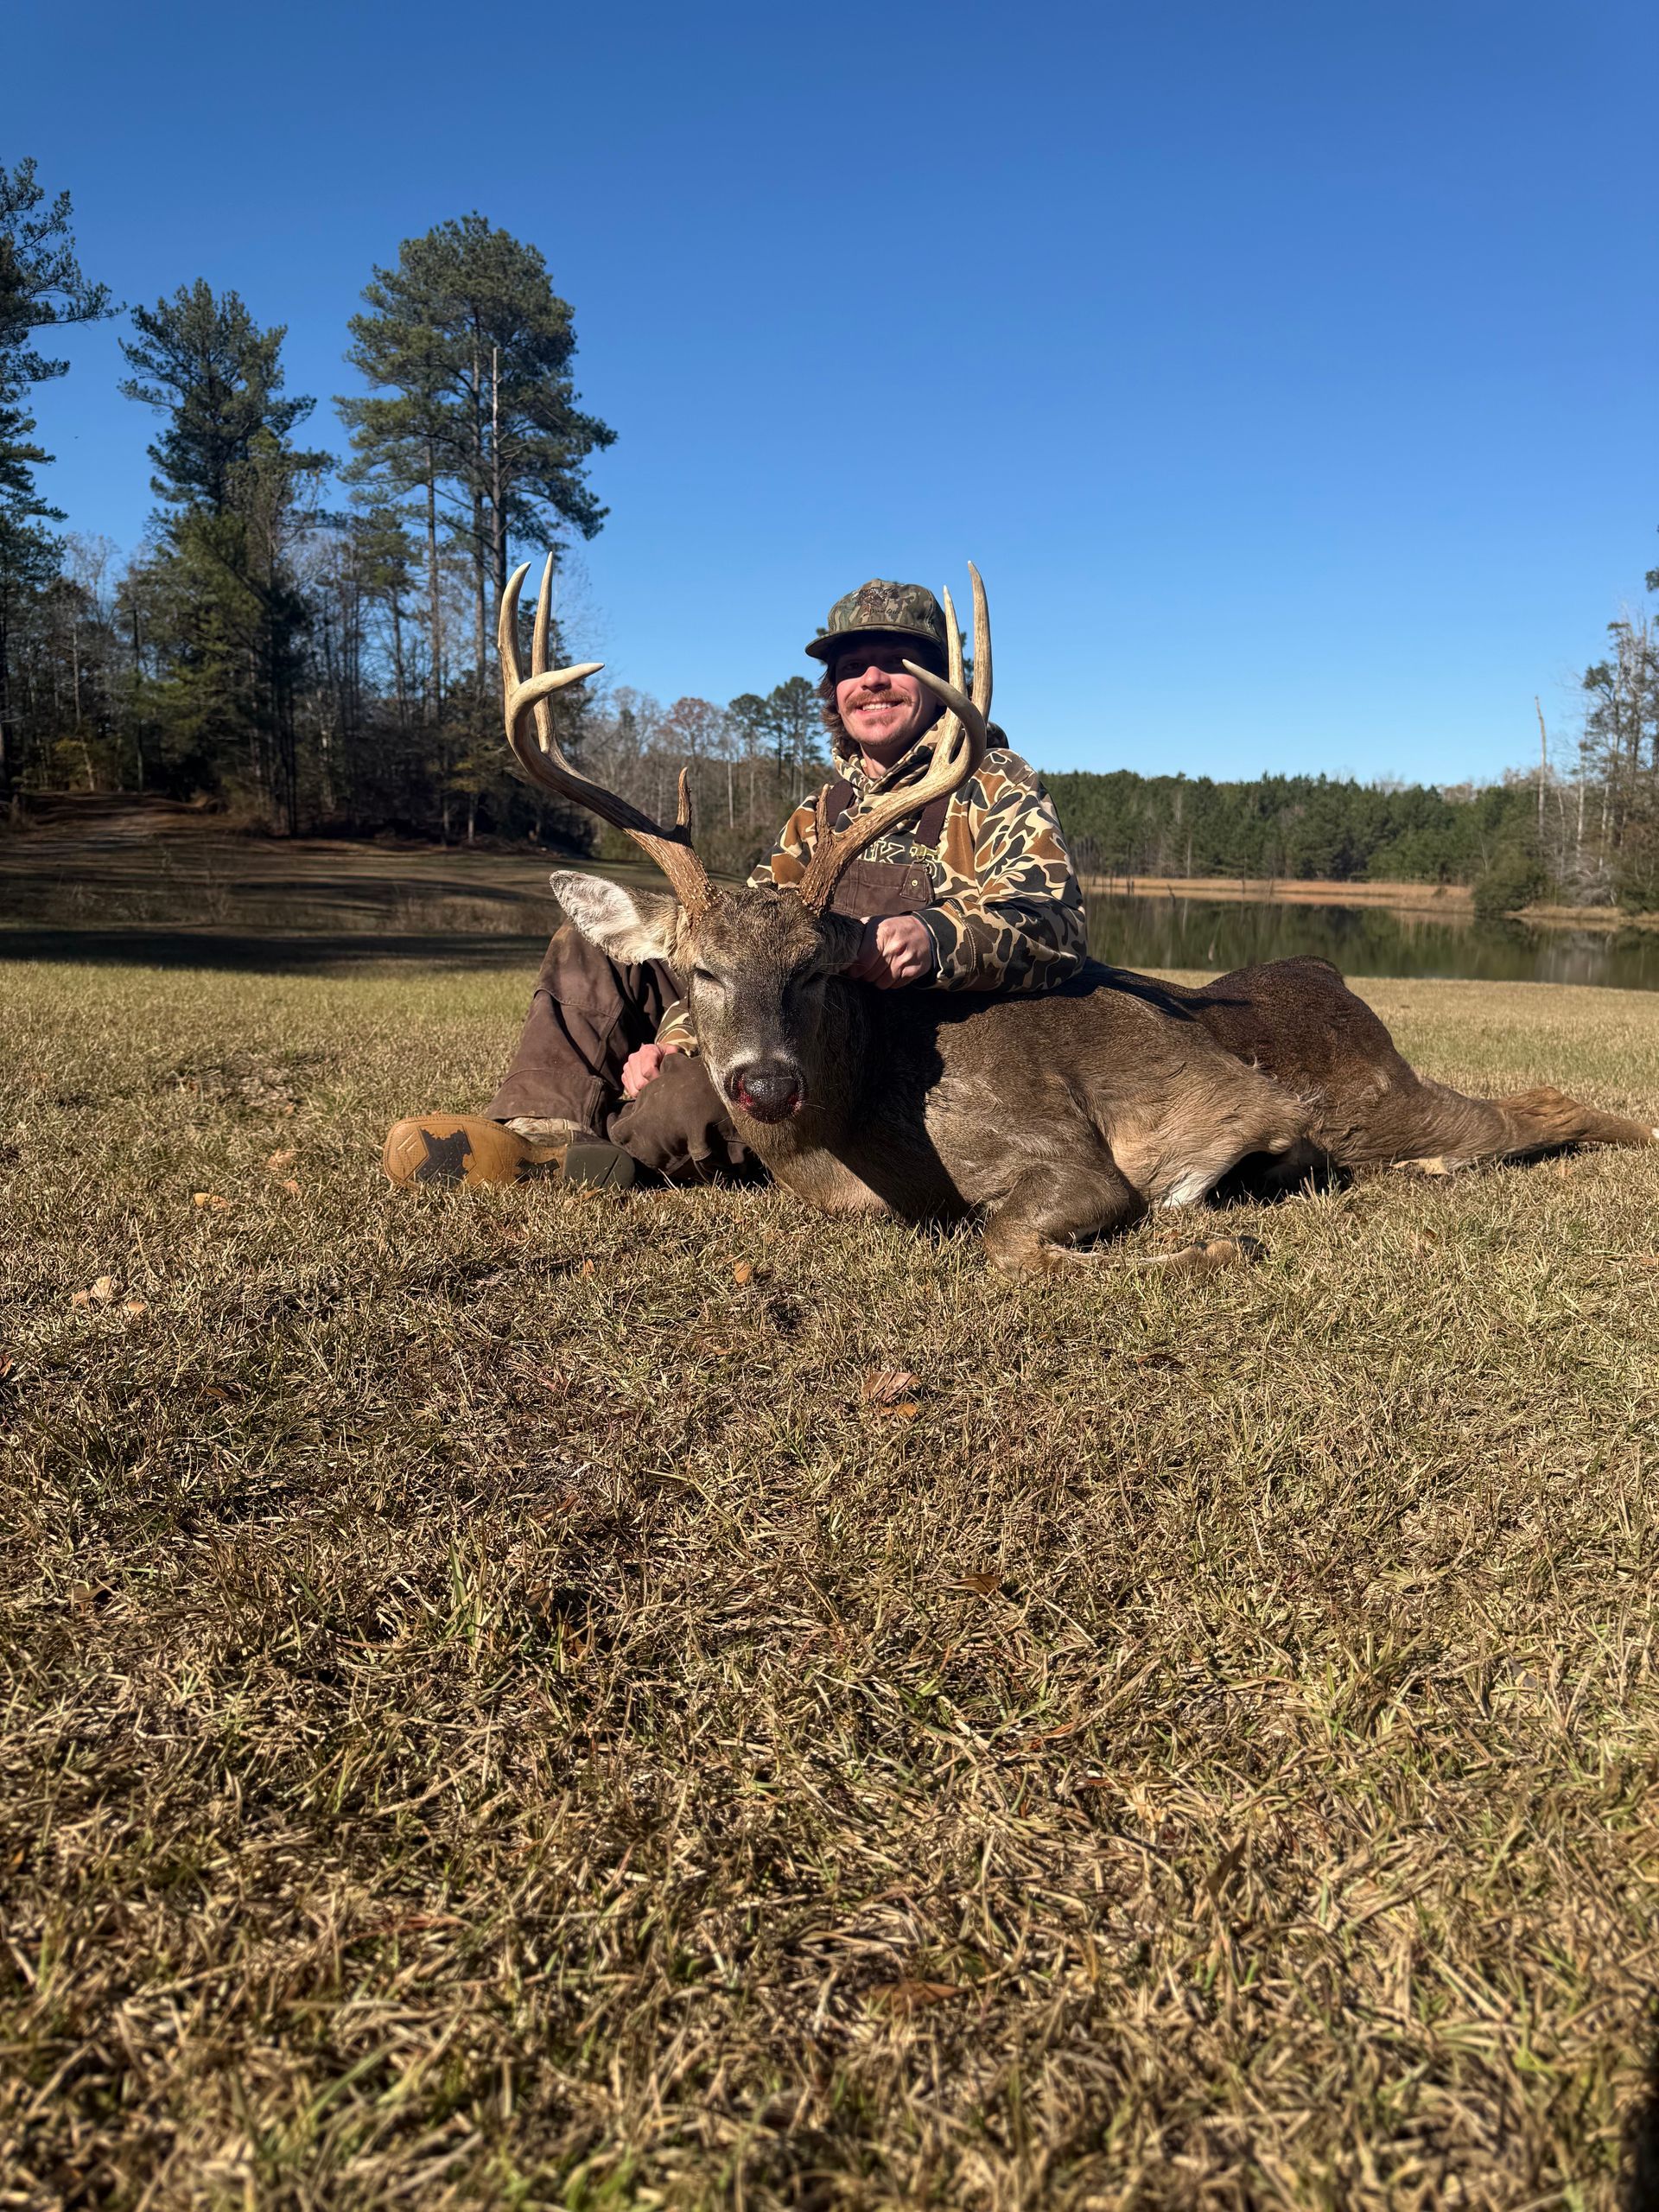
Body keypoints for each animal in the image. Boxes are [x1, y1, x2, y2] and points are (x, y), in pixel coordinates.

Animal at [499, 558, 1657, 1273]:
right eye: (698, 966)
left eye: (818, 968)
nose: (765, 1082)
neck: (849, 1138)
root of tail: (1334, 978)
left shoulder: (1070, 1154)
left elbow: (1007, 1244)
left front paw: (1210, 1244)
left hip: (1376, 1103)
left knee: (1533, 1107)